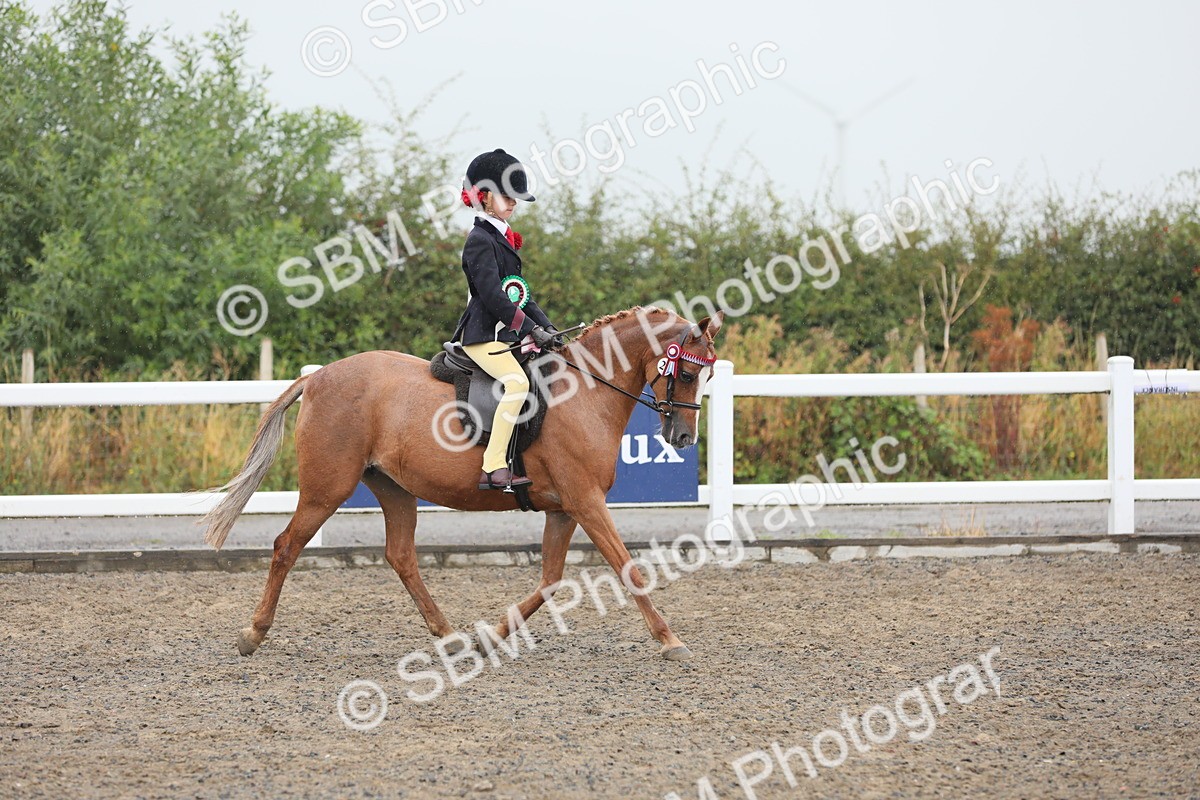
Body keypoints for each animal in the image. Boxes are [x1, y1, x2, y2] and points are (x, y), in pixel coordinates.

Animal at [202, 305, 725, 661]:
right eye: (688, 371)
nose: (683, 437)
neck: (583, 392)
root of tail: (317, 378)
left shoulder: (564, 507)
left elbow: (551, 580)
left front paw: (491, 637)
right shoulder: (586, 501)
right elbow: (627, 568)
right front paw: (670, 640)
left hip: (394, 488)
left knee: (401, 556)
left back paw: (451, 636)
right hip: (326, 488)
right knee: (286, 546)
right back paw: (253, 634)